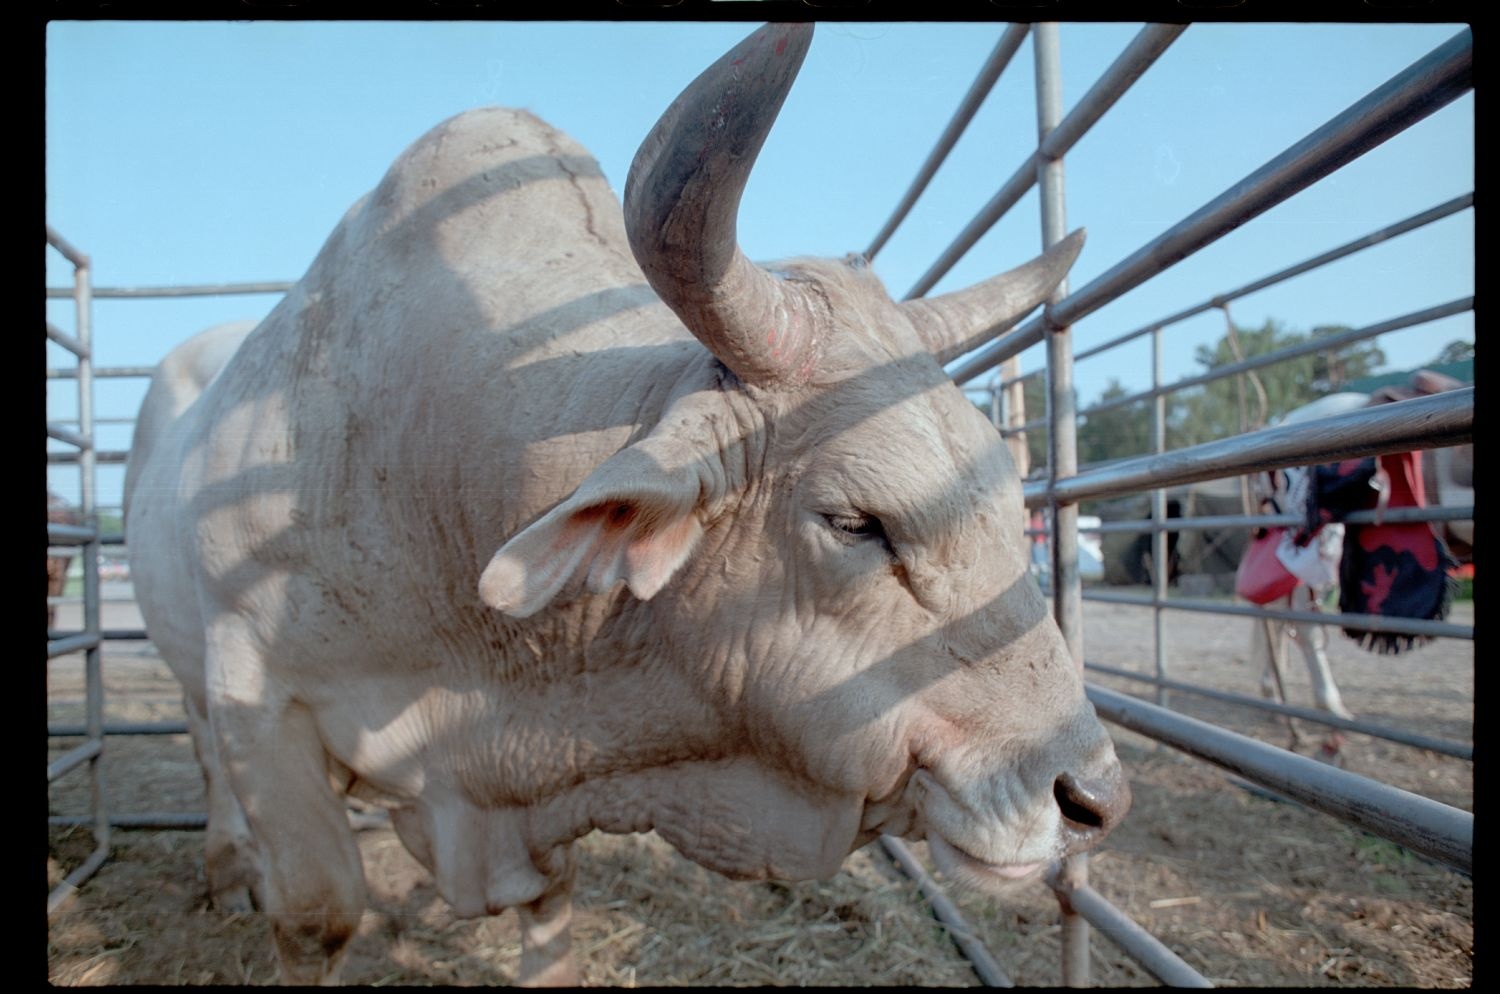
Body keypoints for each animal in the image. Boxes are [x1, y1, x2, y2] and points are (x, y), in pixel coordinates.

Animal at [129, 25, 1128, 989]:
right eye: (855, 523)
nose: (1092, 800)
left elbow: (551, 913)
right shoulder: (259, 699)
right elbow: (317, 912)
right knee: (205, 758)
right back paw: (227, 869)